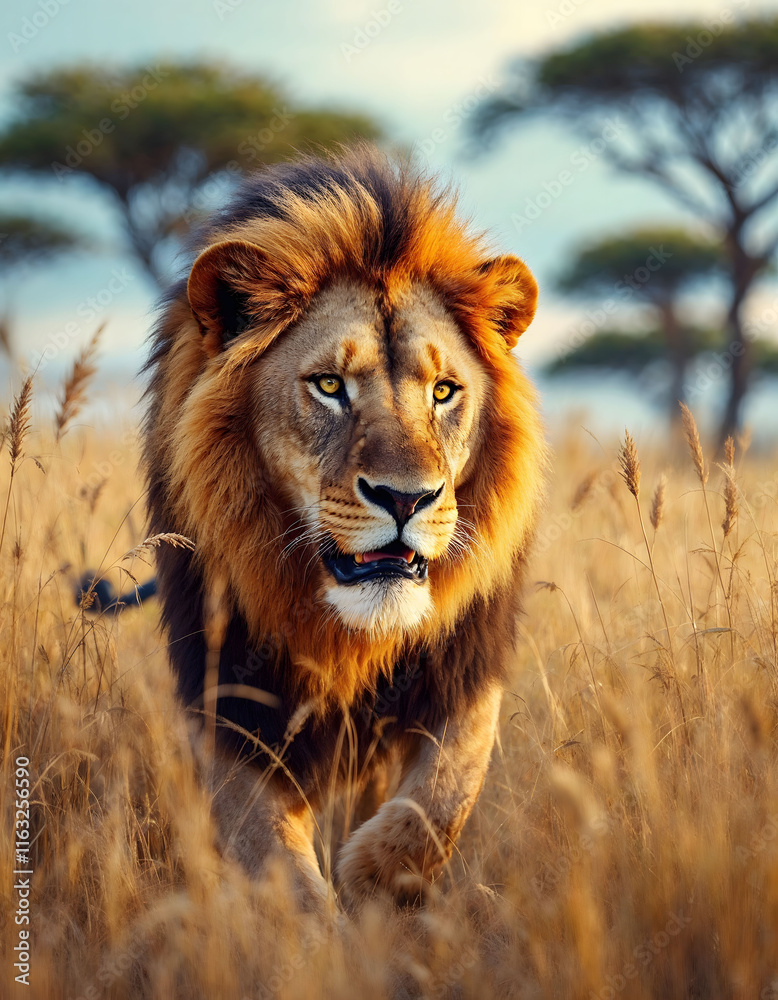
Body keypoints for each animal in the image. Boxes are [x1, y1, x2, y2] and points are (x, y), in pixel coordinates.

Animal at [143, 145, 545, 913]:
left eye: (443, 391)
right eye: (330, 385)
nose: (405, 498)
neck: (348, 634)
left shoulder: (467, 672)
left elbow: (441, 799)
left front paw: (376, 887)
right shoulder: (227, 704)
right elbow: (273, 860)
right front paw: (318, 923)